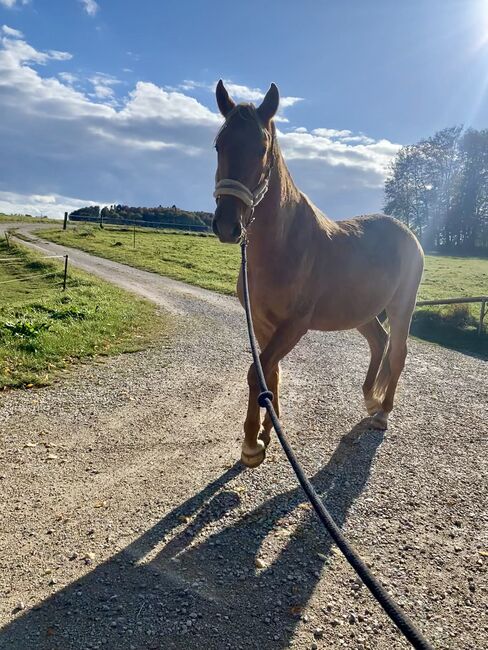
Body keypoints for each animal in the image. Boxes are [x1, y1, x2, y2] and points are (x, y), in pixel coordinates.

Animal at [213, 79, 424, 466]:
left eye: (262, 149)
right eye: (219, 144)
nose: (226, 225)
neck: (283, 245)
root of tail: (408, 233)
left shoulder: (294, 326)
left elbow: (257, 373)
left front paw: (251, 444)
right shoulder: (262, 323)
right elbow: (270, 374)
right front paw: (267, 431)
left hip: (403, 305)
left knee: (398, 352)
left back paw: (382, 413)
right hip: (361, 311)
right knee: (379, 341)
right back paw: (369, 398)